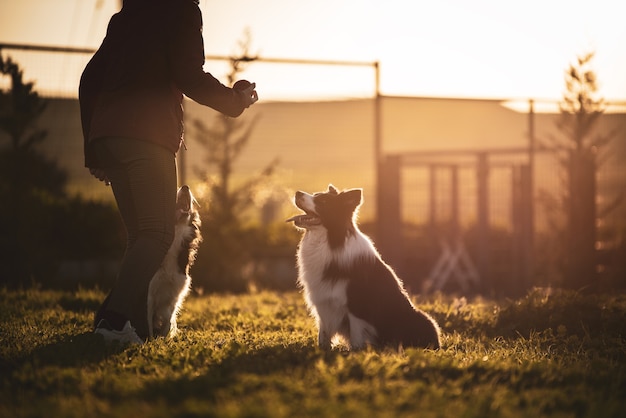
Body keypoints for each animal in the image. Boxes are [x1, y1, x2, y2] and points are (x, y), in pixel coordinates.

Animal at [146, 186, 200, 340]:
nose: (185, 187)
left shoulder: (175, 292)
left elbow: (168, 320)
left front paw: (164, 340)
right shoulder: (149, 294)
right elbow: (148, 321)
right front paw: (148, 340)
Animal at [286, 185, 438, 352]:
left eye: (323, 202)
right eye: (316, 195)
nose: (297, 193)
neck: (331, 242)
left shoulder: (356, 305)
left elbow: (357, 334)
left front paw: (356, 352)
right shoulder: (324, 303)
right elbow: (323, 333)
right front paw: (323, 350)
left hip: (423, 319)